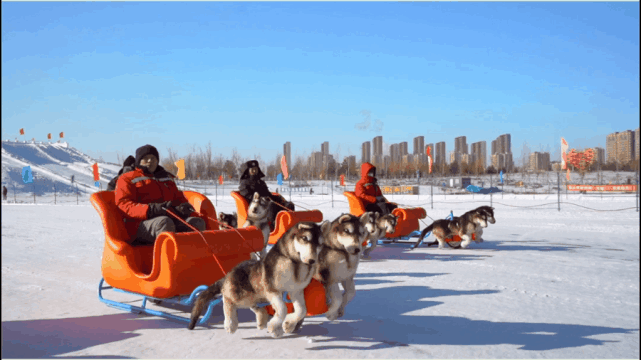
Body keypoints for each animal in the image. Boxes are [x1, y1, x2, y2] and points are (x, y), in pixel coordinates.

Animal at [188, 221, 322, 336]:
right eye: (305, 238)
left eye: (320, 244)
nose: (312, 260)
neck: (295, 264)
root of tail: (228, 274)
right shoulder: (272, 290)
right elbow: (283, 308)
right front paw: (274, 327)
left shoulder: (296, 291)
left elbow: (302, 310)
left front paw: (288, 325)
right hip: (240, 295)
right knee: (226, 298)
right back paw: (230, 324)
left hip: (253, 296)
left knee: (256, 307)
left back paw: (262, 320)